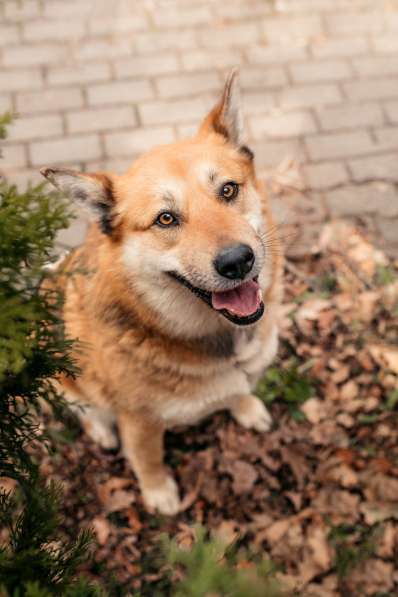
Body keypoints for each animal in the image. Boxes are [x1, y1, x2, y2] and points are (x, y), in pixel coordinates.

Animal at [41, 72, 282, 516]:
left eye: (228, 190)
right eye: (166, 218)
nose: (238, 261)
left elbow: (239, 391)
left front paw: (246, 407)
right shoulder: (139, 421)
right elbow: (147, 457)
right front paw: (158, 491)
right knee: (87, 410)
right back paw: (101, 431)